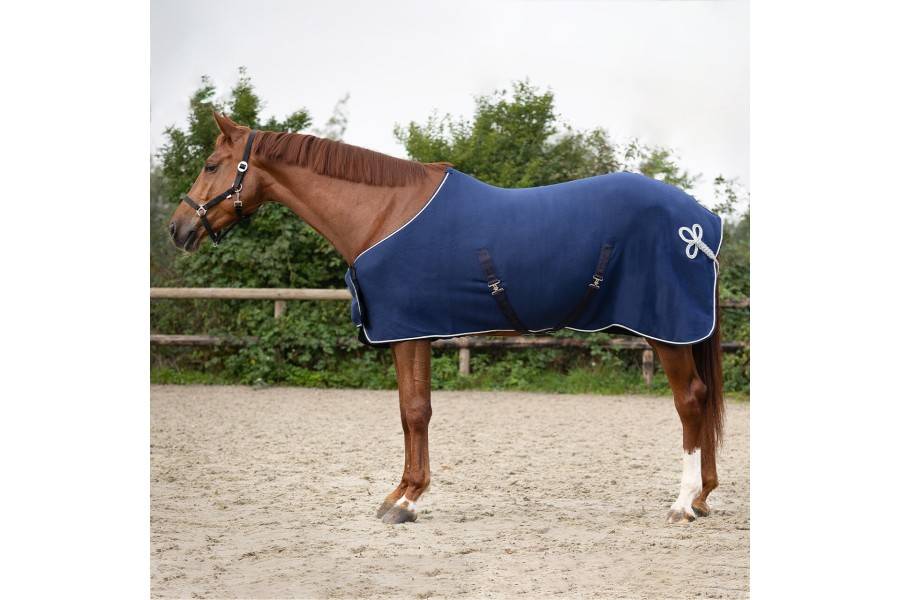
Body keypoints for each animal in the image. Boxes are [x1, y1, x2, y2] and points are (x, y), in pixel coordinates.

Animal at [168, 112, 724, 525]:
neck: (383, 213)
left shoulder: (408, 332)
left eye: (212, 164)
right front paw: (399, 495)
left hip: (667, 330)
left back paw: (681, 504)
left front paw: (406, 501)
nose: (178, 228)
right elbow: (410, 411)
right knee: (701, 401)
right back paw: (702, 498)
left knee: (690, 400)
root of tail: (703, 222)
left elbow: (414, 412)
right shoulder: (417, 333)